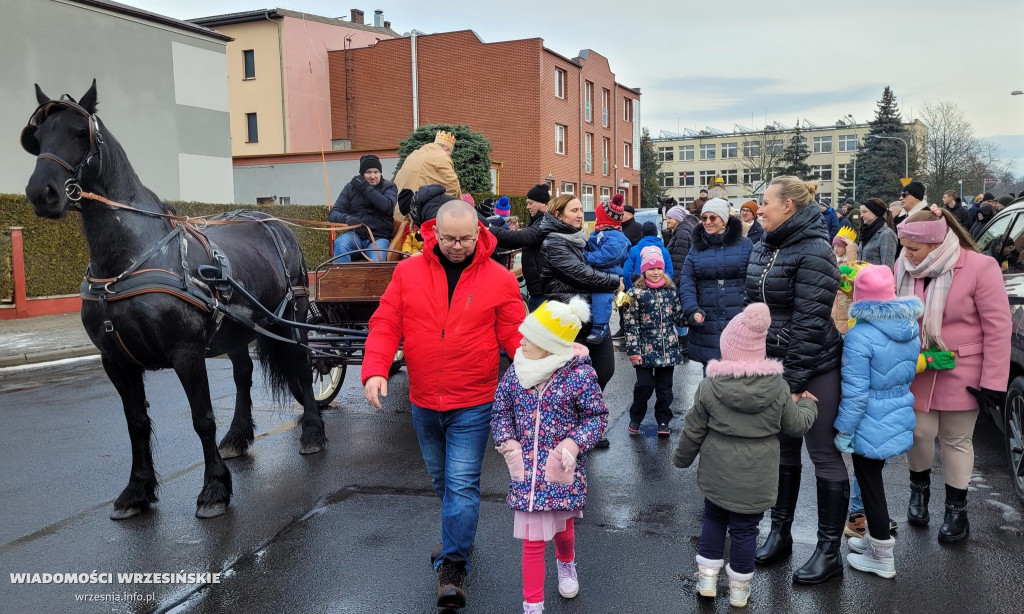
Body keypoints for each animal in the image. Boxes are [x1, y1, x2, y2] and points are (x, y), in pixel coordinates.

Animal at [22, 80, 325, 517]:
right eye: (39, 137)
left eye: (80, 133)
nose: (40, 193)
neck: (129, 259)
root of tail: (273, 222)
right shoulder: (116, 361)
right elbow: (136, 424)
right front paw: (137, 489)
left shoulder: (186, 354)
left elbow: (202, 418)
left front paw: (214, 489)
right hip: (236, 331)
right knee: (243, 375)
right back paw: (238, 436)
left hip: (291, 319)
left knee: (302, 366)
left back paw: (313, 431)